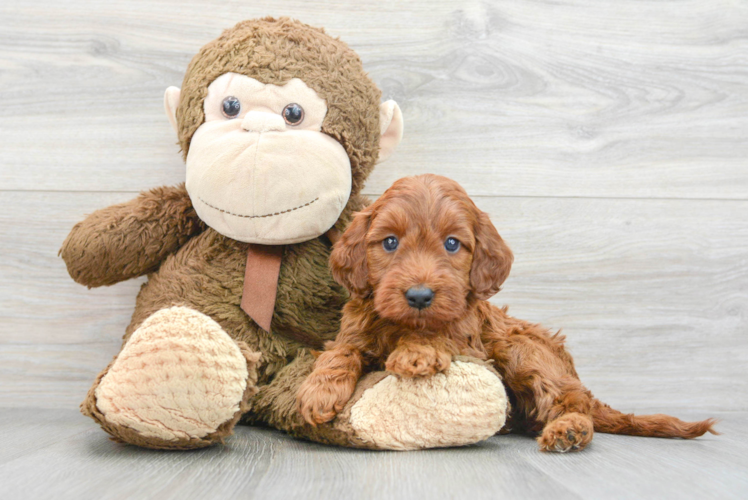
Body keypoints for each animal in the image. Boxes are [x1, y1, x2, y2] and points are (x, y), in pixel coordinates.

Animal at [296, 174, 716, 452]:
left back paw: (570, 430)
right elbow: (340, 352)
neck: (403, 323)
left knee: (571, 401)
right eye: (389, 242)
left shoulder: (470, 337)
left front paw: (418, 351)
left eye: (452, 244)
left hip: (523, 352)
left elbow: (441, 332)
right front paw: (319, 391)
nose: (419, 296)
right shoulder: (354, 327)